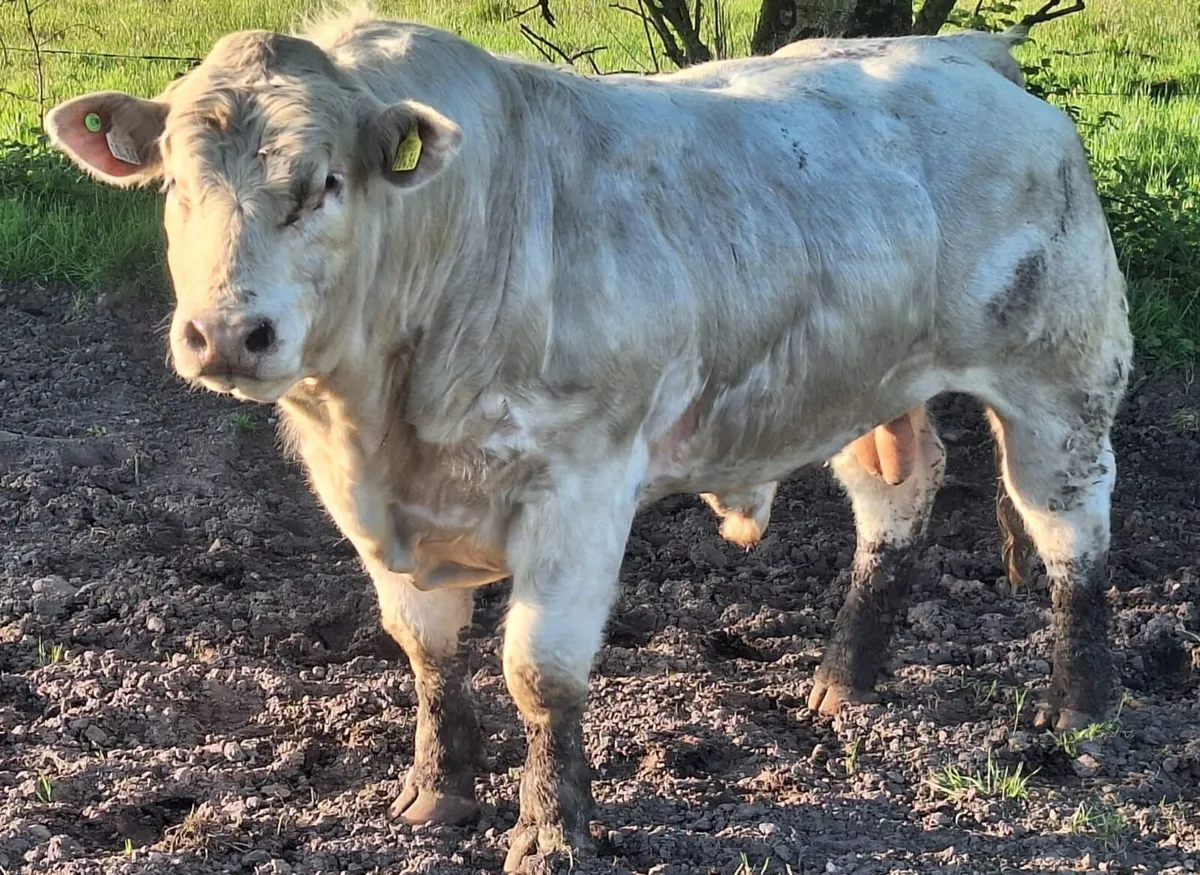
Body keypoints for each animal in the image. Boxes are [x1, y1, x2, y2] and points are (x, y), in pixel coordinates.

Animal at [45, 4, 1133, 870]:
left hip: (1062, 374)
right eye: (173, 185)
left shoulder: (580, 487)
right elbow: (426, 649)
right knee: (897, 496)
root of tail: (966, 53)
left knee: (1068, 527)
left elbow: (539, 670)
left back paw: (1081, 709)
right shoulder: (372, 510)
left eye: (325, 184)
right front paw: (436, 792)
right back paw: (841, 682)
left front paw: (549, 833)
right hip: (869, 381)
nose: (230, 332)